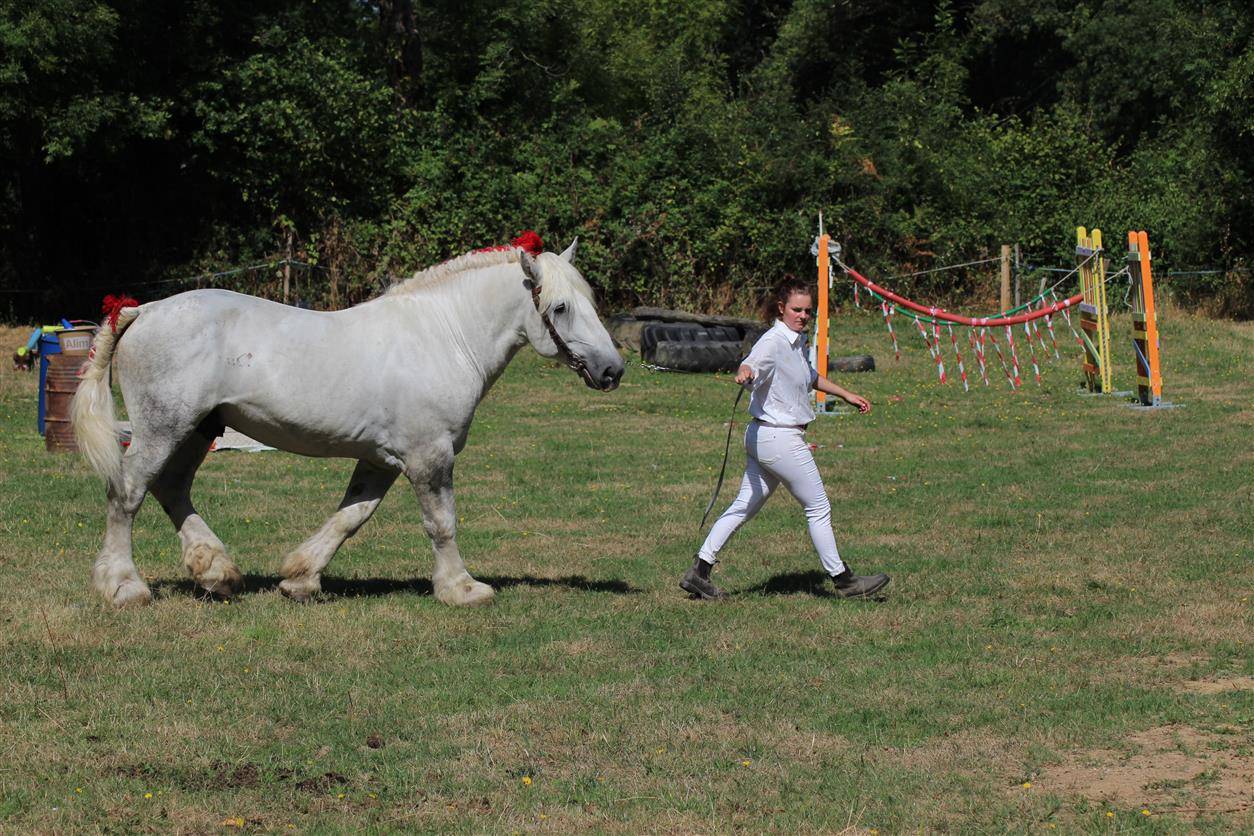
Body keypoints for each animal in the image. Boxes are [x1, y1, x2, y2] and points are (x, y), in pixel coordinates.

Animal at [71, 238, 624, 608]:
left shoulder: (382, 460)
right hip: (163, 427)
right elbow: (441, 522)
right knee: (128, 493)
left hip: (198, 430)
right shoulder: (429, 456)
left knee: (171, 488)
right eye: (560, 307)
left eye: (591, 302)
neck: (442, 337)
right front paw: (462, 588)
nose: (612, 370)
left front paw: (299, 578)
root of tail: (143, 310)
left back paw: (217, 572)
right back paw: (124, 585)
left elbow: (350, 517)